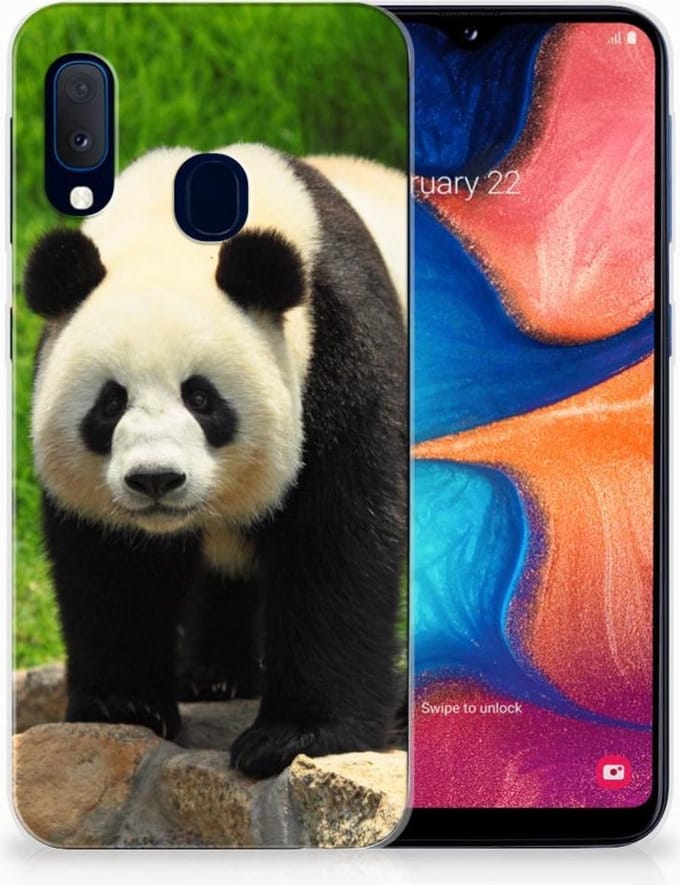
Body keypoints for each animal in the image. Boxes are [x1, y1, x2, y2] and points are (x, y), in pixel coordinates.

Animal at [24, 144, 407, 777]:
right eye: (110, 403)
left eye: (201, 399)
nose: (155, 479)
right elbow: (112, 563)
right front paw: (123, 705)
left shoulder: (341, 351)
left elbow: (339, 541)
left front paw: (294, 736)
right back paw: (214, 676)